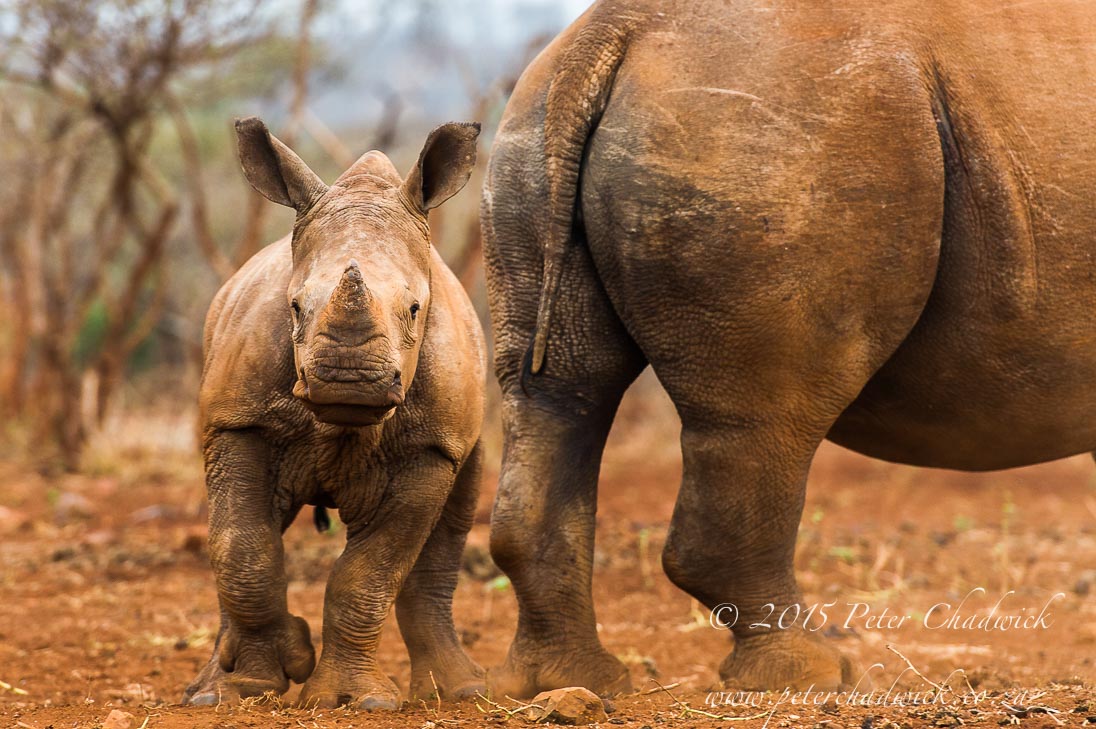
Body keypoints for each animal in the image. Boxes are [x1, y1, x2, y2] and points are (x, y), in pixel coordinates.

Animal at [183, 117, 486, 709]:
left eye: (414, 309)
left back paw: (460, 693)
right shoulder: (239, 422)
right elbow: (242, 549)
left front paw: (352, 700)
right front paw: (259, 681)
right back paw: (210, 692)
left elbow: (371, 572)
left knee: (447, 530)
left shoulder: (431, 448)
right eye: (295, 306)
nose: (350, 381)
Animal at [482, 0, 1096, 697]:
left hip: (533, 133)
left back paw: (572, 683)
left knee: (559, 396)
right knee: (769, 416)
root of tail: (609, 32)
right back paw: (812, 675)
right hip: (774, 134)